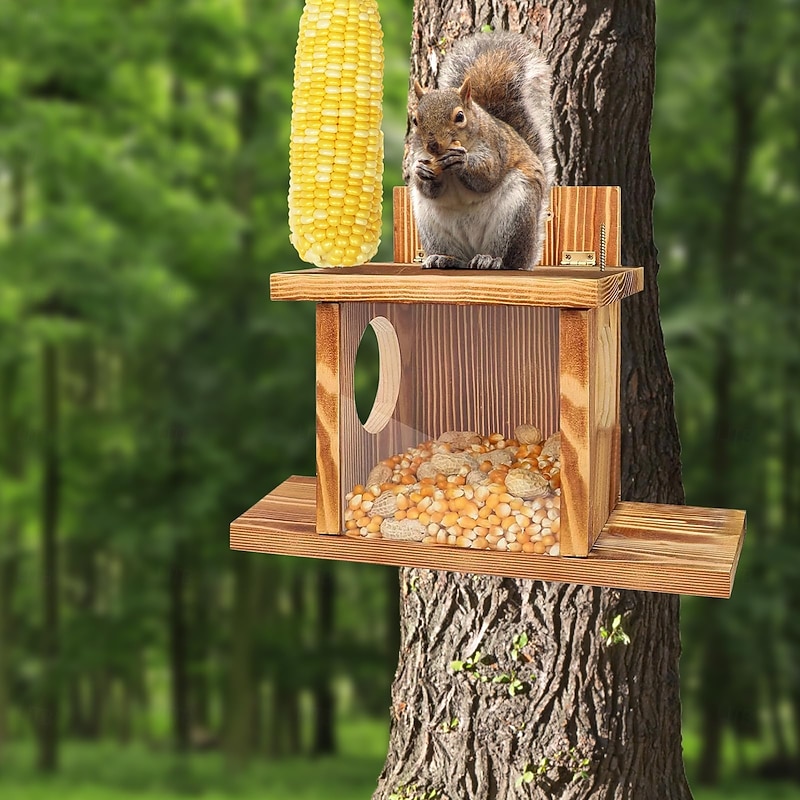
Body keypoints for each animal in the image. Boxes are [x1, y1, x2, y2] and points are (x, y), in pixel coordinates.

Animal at [407, 32, 555, 271]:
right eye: (415, 120)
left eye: (459, 116)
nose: (433, 145)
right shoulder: (417, 152)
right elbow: (427, 188)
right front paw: (421, 171)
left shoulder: (495, 146)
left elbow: (488, 175)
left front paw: (462, 161)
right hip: (432, 226)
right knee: (456, 256)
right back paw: (444, 258)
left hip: (515, 215)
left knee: (506, 258)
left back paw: (490, 259)